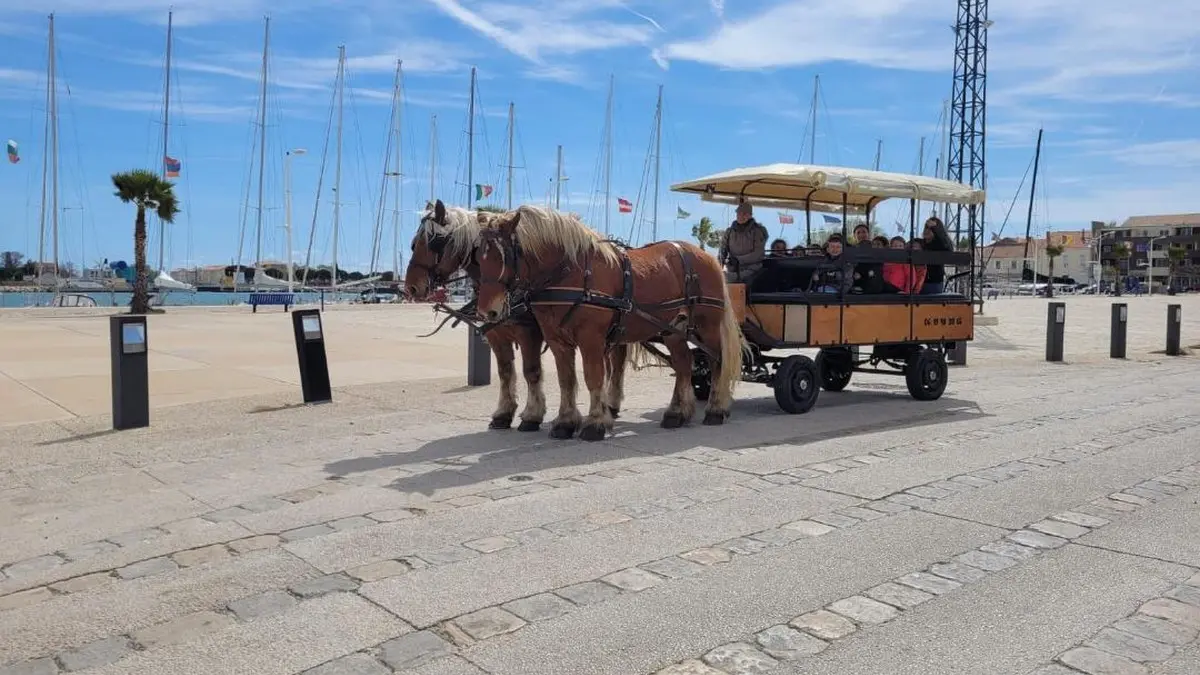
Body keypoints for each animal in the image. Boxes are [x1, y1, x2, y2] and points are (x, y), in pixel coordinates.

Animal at [403, 199, 628, 429]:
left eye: (434, 242)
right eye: (414, 243)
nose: (411, 287)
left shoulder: (529, 333)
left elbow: (531, 371)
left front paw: (532, 414)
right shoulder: (497, 335)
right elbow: (505, 372)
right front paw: (504, 412)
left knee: (615, 365)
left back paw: (610, 404)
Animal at [475, 201, 739, 441]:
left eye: (503, 256)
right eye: (479, 256)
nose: (487, 311)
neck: (570, 273)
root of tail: (707, 257)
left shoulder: (591, 339)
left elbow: (593, 377)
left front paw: (595, 423)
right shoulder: (557, 340)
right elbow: (566, 380)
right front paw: (565, 422)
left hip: (707, 327)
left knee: (717, 361)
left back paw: (716, 409)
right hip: (674, 329)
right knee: (684, 363)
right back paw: (677, 412)